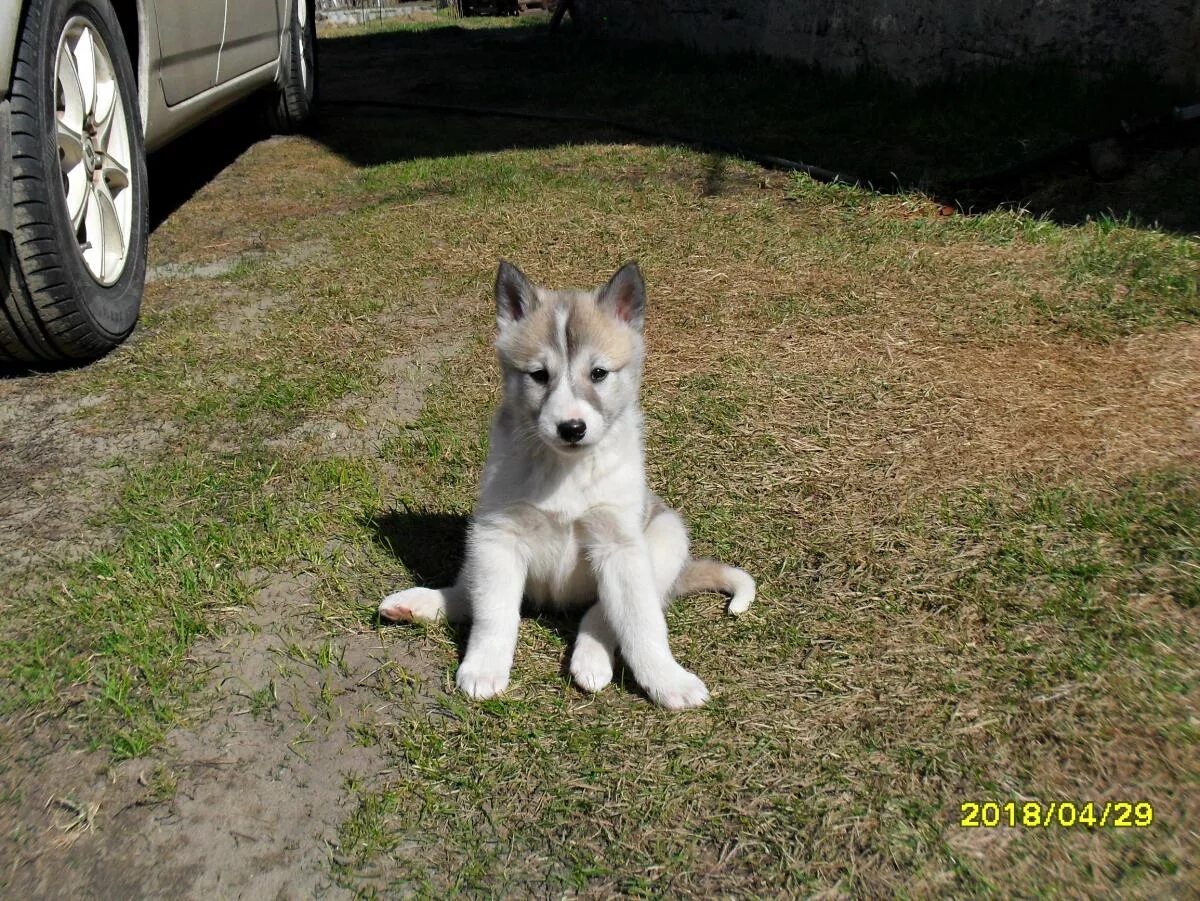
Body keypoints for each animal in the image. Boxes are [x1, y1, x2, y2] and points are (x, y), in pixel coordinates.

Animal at [379, 260, 753, 710]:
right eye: (539, 375)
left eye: (599, 373)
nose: (571, 428)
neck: (565, 469)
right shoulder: (497, 536)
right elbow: (494, 615)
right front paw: (484, 667)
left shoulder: (619, 546)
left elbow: (642, 625)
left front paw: (667, 679)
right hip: (480, 543)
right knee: (468, 593)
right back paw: (417, 603)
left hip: (664, 536)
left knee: (603, 613)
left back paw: (591, 658)